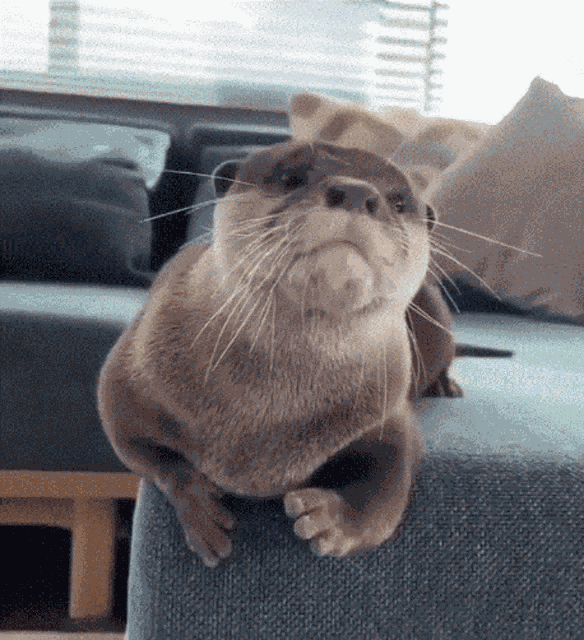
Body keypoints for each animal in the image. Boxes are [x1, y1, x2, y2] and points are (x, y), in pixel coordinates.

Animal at [97, 140, 466, 567]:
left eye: (400, 201)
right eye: (291, 177)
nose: (358, 192)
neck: (268, 416)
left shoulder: (387, 410)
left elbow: (392, 479)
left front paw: (333, 524)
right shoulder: (127, 380)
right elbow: (144, 451)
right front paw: (201, 509)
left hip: (437, 309)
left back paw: (446, 387)